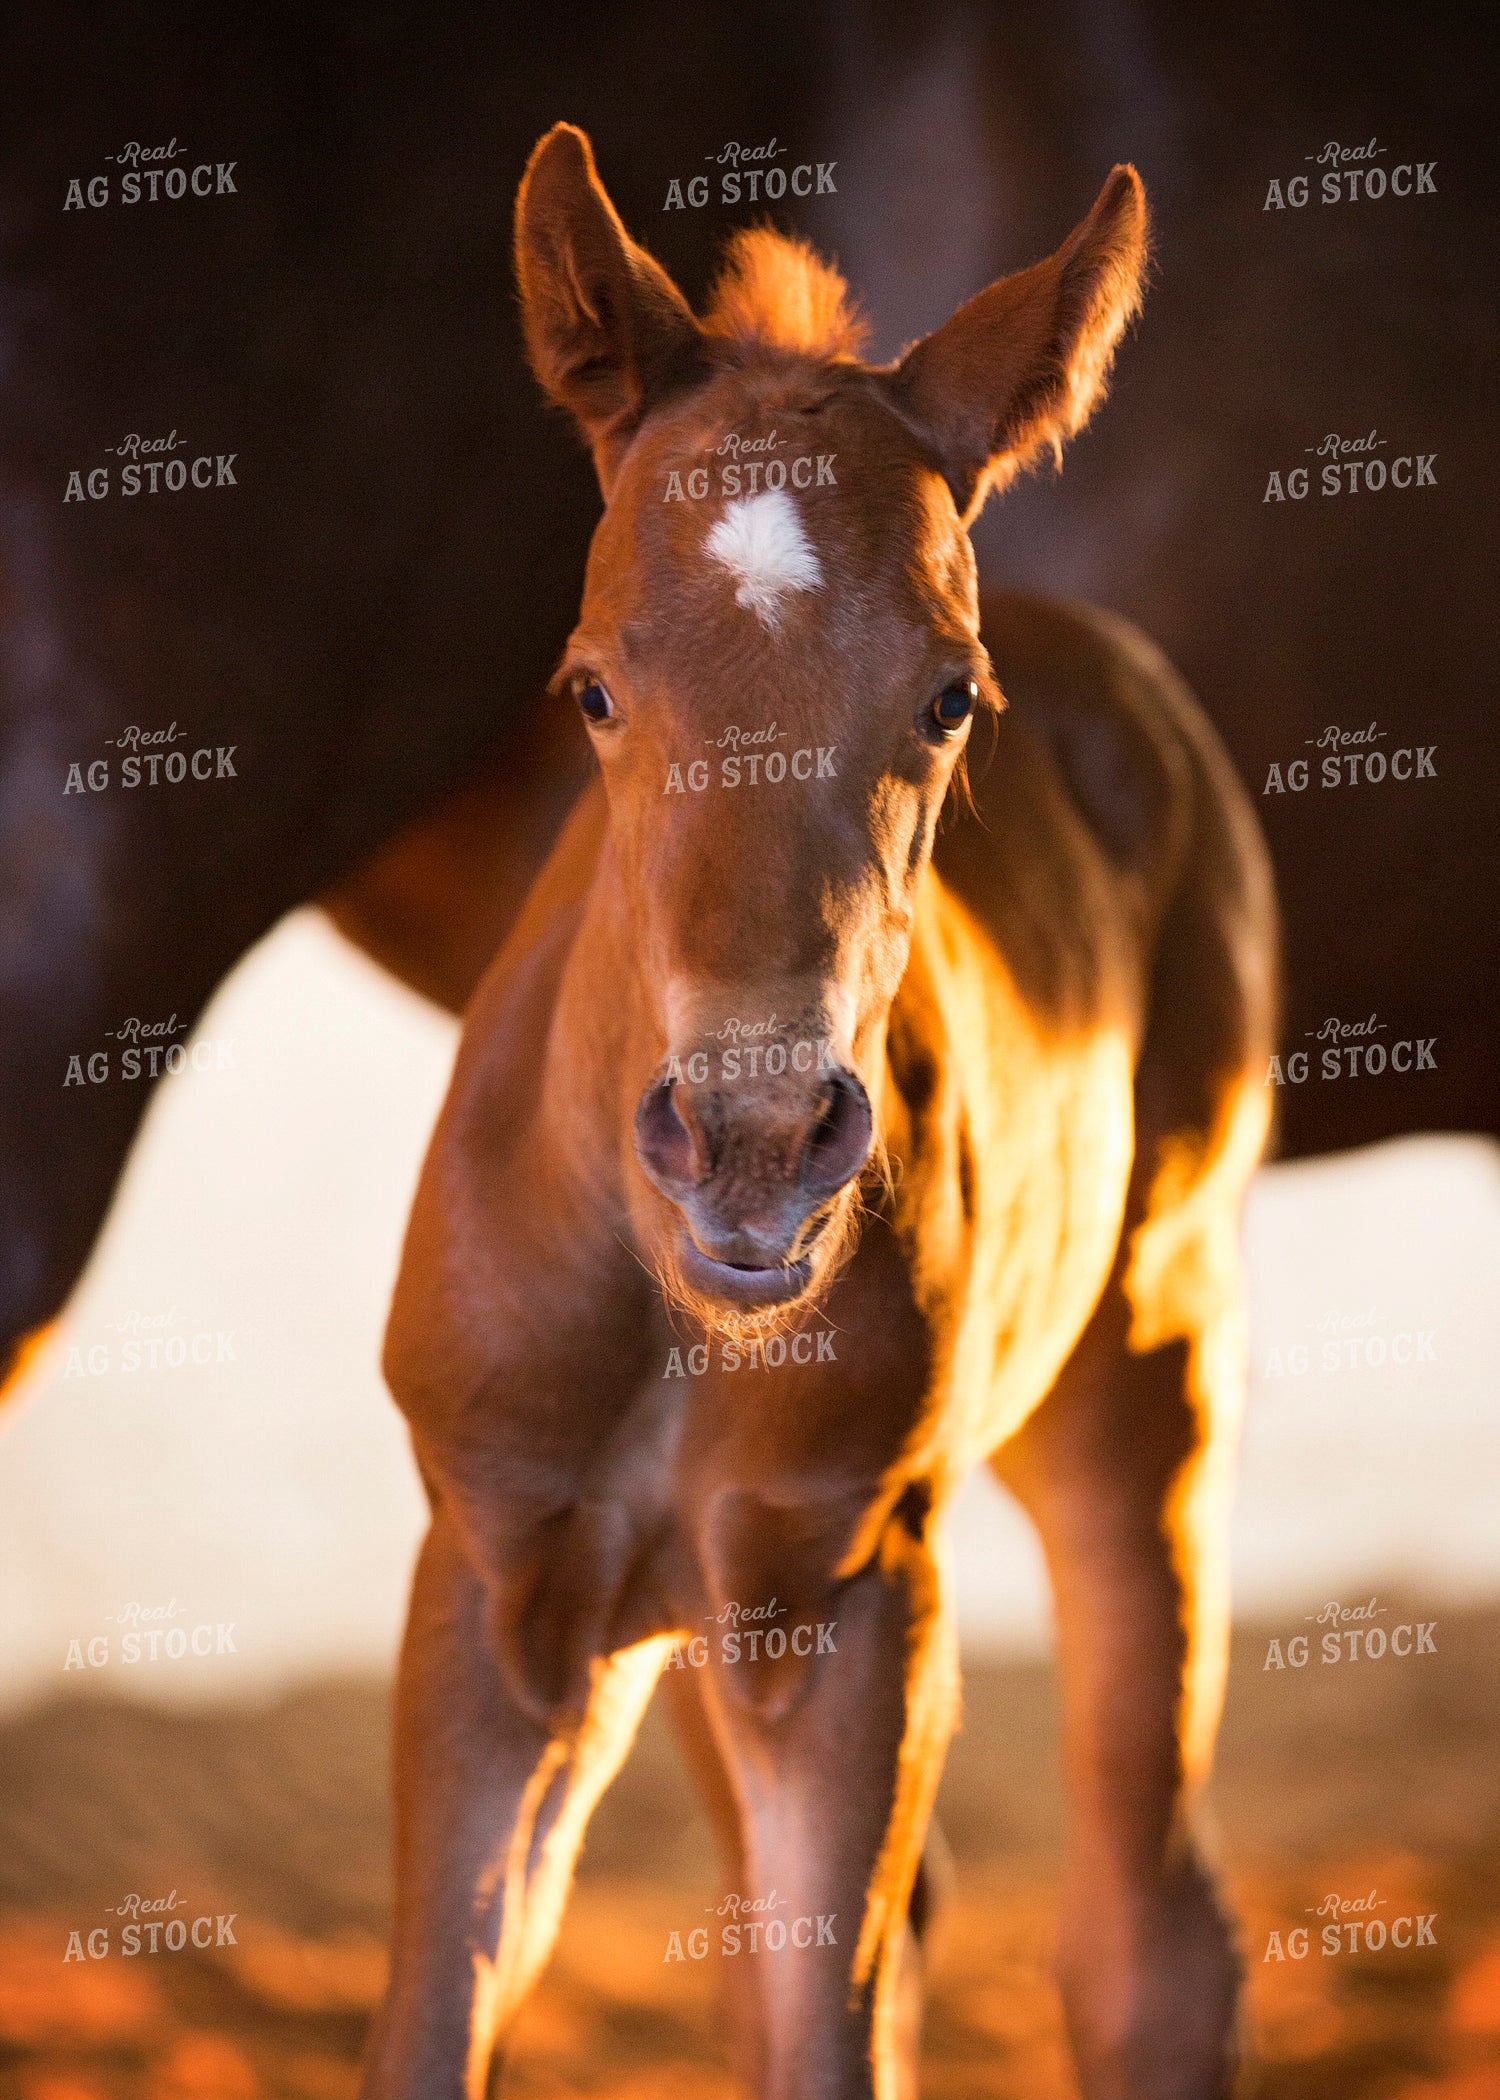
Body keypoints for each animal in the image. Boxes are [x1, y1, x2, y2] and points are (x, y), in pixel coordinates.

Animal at [361, 122, 1276, 2100]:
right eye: (591, 685)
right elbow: (436, 2031)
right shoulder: (496, 1582)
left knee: (1147, 1934)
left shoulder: (847, 1595)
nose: (758, 1147)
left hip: (1148, 1373)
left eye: (948, 698)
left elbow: (829, 2030)